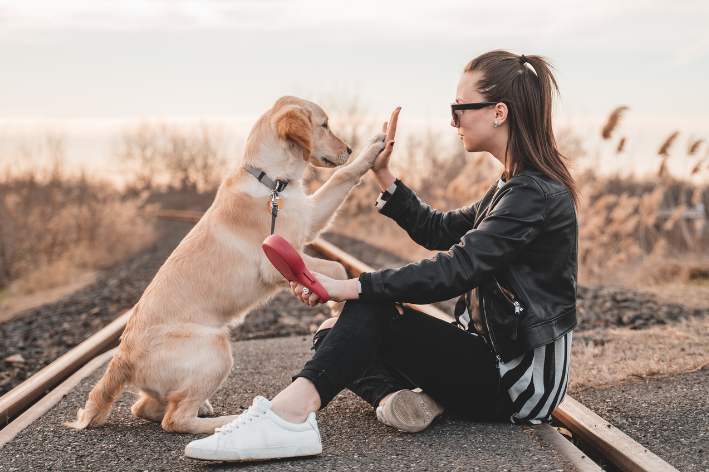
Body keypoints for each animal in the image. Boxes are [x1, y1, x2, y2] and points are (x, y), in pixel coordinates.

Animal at [68, 97, 382, 436]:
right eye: (324, 125)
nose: (349, 148)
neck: (272, 182)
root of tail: (121, 358)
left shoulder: (309, 220)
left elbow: (342, 177)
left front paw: (372, 149)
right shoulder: (277, 259)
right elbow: (336, 267)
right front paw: (338, 307)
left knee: (144, 407)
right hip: (216, 347)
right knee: (174, 419)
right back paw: (228, 421)